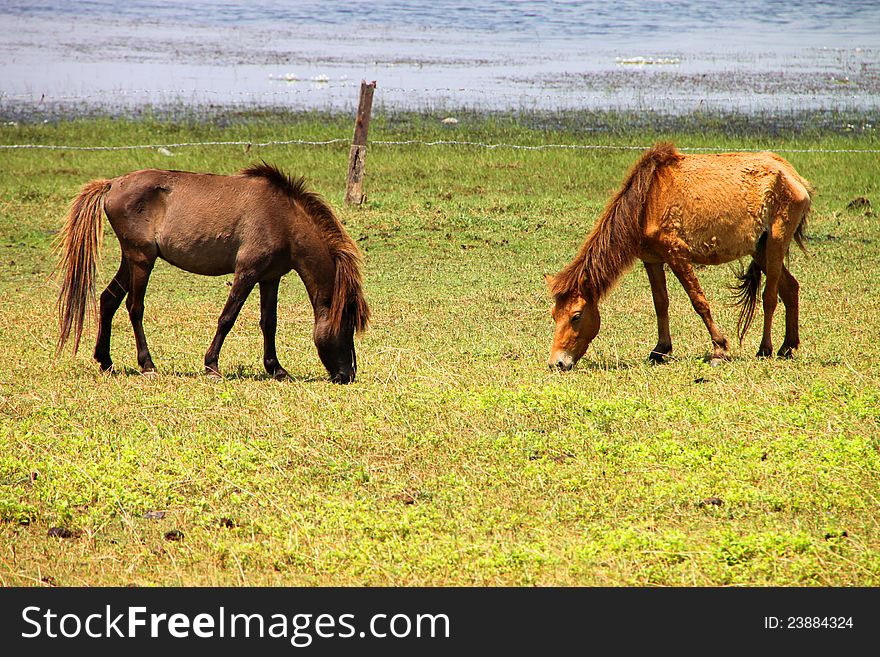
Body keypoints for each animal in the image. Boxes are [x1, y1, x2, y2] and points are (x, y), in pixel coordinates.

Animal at [54, 161, 372, 382]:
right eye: (346, 326)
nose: (348, 375)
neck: (283, 218)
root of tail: (112, 184)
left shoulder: (270, 277)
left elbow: (269, 322)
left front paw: (276, 369)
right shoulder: (247, 272)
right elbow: (227, 318)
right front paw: (212, 366)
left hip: (130, 259)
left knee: (109, 300)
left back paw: (105, 361)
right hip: (142, 259)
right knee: (135, 307)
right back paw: (147, 365)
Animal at [548, 143, 816, 368]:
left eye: (576, 316)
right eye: (553, 315)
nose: (557, 363)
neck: (646, 201)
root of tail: (791, 174)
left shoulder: (677, 255)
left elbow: (699, 301)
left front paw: (719, 349)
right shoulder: (652, 259)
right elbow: (660, 303)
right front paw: (660, 349)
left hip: (776, 242)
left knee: (770, 296)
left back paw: (765, 348)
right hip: (760, 249)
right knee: (790, 288)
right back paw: (787, 347)